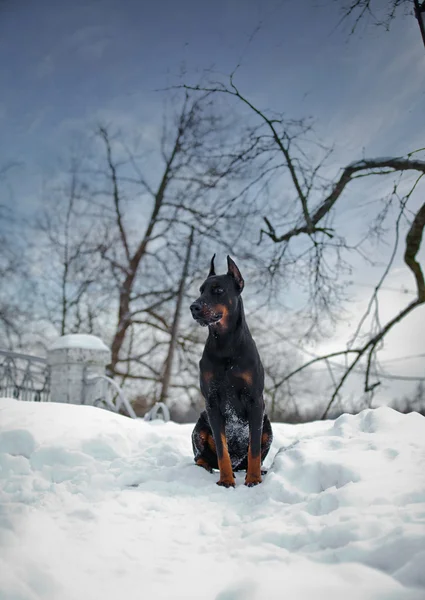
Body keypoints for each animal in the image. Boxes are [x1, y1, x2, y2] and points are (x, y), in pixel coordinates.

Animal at [189, 254, 272, 488]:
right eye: (201, 290)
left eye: (218, 290)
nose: (193, 307)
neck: (225, 345)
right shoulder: (212, 402)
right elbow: (221, 448)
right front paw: (226, 480)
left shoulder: (255, 401)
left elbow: (254, 449)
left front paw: (253, 479)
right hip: (199, 427)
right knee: (200, 457)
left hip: (268, 426)